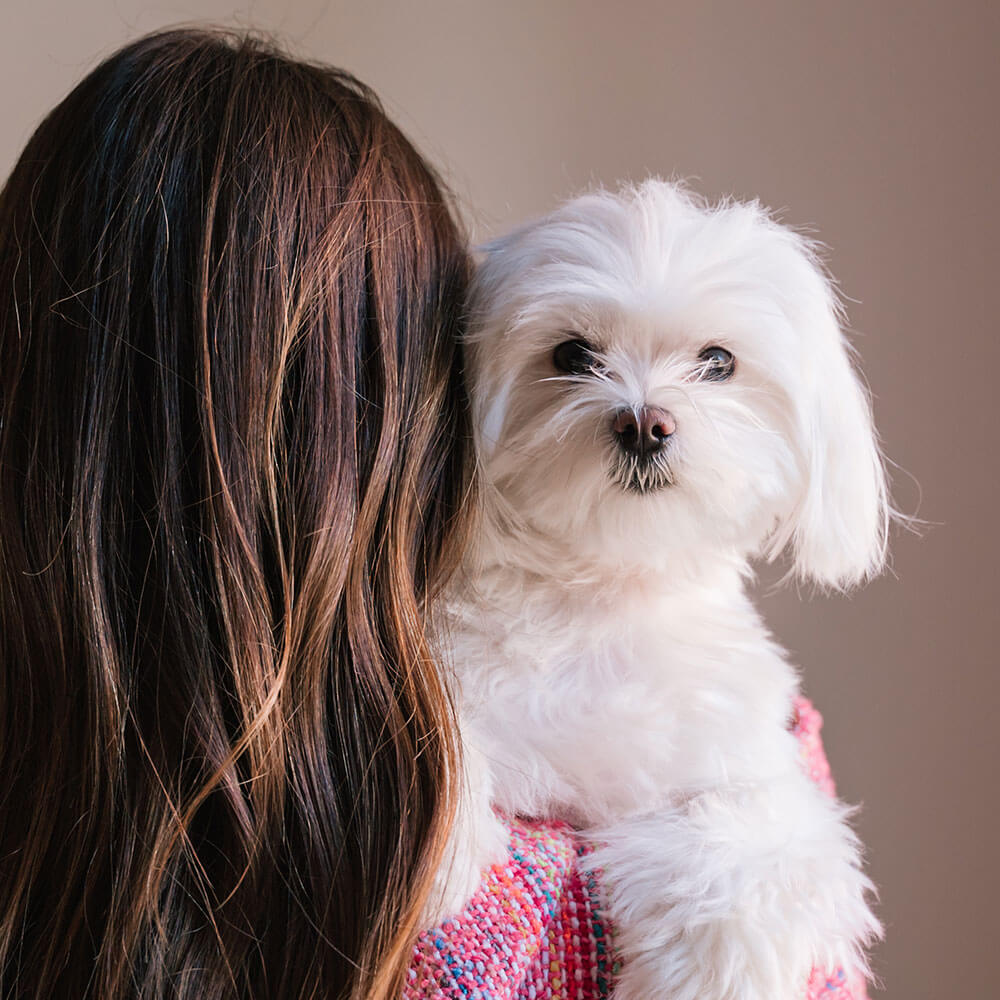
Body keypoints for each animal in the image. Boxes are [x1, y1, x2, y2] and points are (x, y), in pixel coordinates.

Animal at [434, 182, 888, 1000]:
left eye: (719, 361)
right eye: (573, 355)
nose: (645, 424)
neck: (606, 593)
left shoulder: (743, 762)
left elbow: (753, 839)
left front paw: (714, 972)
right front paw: (446, 852)